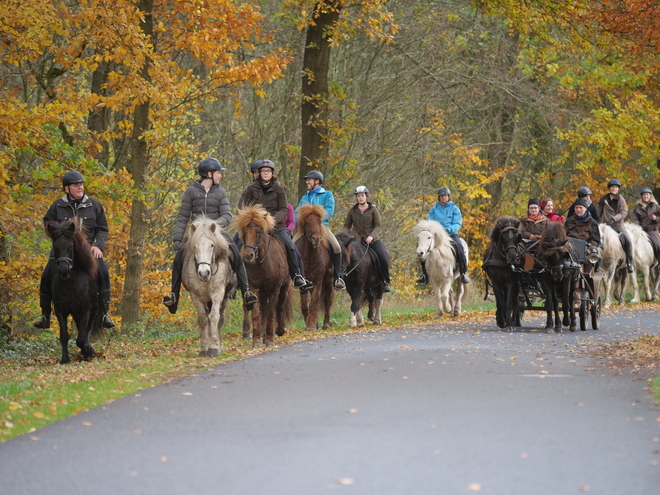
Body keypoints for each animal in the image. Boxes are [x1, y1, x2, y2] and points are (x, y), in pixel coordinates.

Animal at [46, 221, 104, 364]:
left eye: (71, 246)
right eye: (55, 246)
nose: (64, 271)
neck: (70, 282)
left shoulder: (85, 309)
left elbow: (81, 338)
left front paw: (89, 351)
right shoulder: (60, 310)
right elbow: (64, 336)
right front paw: (65, 359)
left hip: (93, 309)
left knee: (87, 330)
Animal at [235, 205, 292, 348]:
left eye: (259, 231)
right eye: (244, 231)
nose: (248, 255)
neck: (262, 262)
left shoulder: (274, 290)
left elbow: (272, 313)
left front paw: (270, 339)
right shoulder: (254, 289)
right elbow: (257, 314)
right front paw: (257, 340)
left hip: (284, 286)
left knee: (280, 305)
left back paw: (279, 330)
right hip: (262, 291)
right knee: (263, 310)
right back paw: (263, 334)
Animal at [296, 205, 336, 334]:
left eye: (319, 222)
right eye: (307, 222)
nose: (316, 238)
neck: (310, 256)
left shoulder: (318, 281)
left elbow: (313, 304)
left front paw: (312, 326)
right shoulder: (303, 283)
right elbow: (305, 306)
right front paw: (308, 324)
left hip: (329, 283)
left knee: (328, 303)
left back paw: (325, 324)